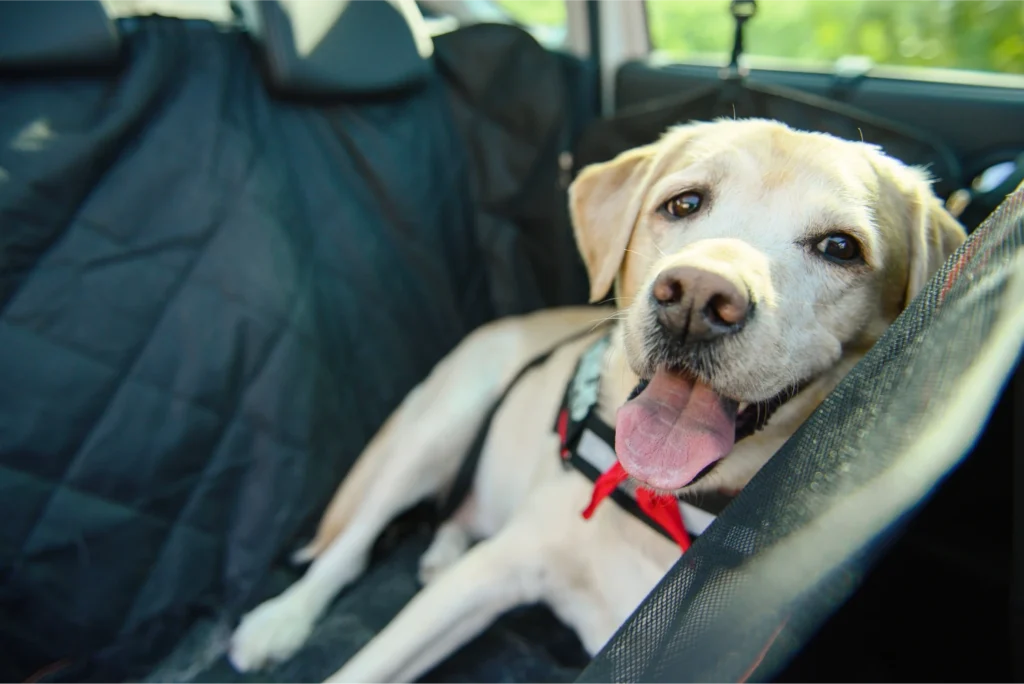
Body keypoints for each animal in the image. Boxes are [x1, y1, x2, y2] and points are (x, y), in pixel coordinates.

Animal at [226, 120, 966, 679]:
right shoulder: (492, 574)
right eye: (684, 204)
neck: (667, 505)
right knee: (349, 548)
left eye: (841, 246)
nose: (696, 299)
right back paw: (280, 621)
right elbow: (367, 662)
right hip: (445, 419)